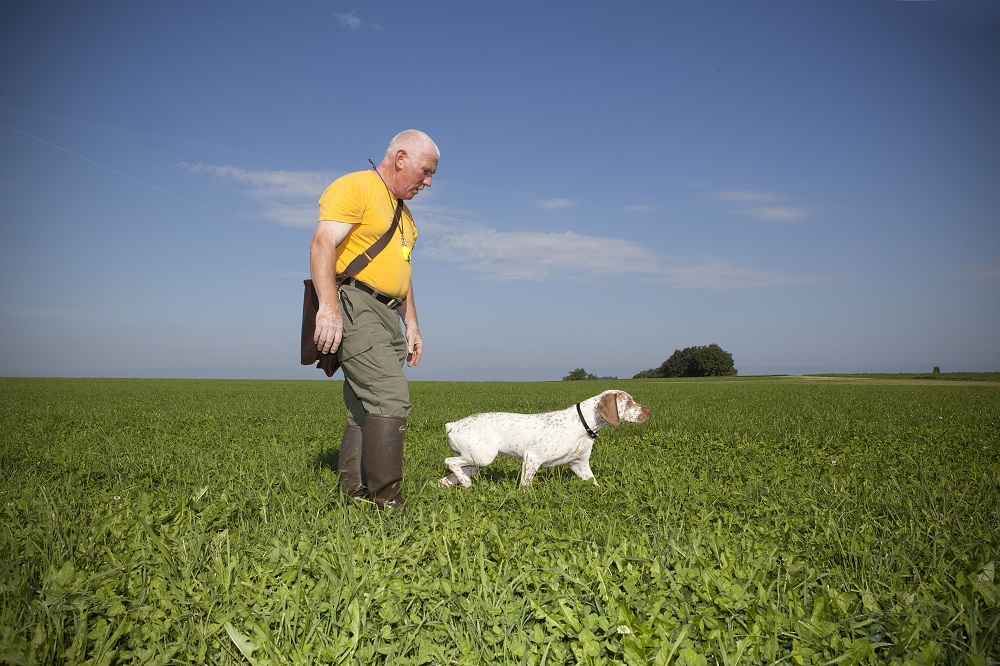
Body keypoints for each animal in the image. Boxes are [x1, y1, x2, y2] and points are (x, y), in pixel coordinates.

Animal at [436, 390, 648, 488]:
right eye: (629, 402)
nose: (649, 410)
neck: (582, 424)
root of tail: (453, 424)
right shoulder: (532, 458)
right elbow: (525, 486)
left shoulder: (579, 465)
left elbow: (595, 484)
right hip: (482, 457)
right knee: (449, 461)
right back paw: (466, 483)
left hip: (474, 463)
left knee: (447, 478)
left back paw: (459, 483)